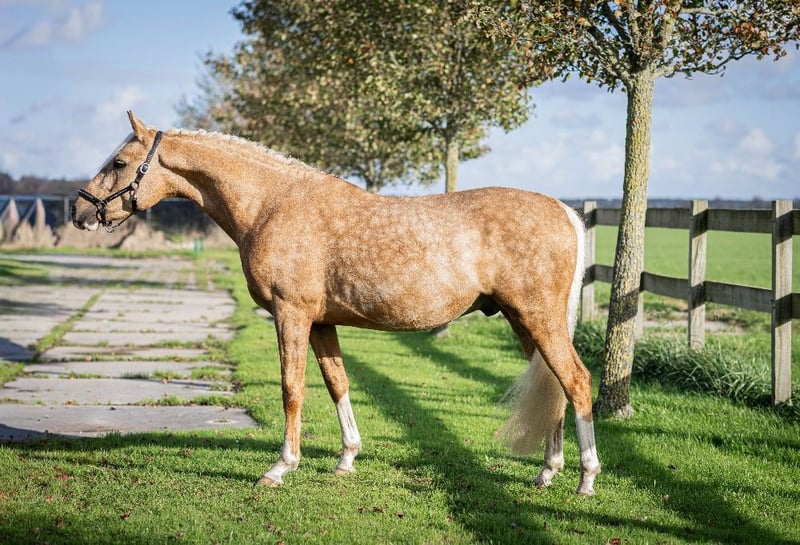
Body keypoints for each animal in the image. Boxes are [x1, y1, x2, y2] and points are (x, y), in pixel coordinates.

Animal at [71, 111, 600, 495]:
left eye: (119, 163)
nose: (78, 211)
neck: (272, 204)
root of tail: (565, 210)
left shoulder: (291, 314)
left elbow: (292, 388)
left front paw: (281, 467)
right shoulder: (322, 322)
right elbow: (337, 383)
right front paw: (346, 458)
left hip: (538, 318)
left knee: (576, 381)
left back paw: (586, 479)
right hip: (521, 321)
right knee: (553, 385)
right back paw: (547, 472)